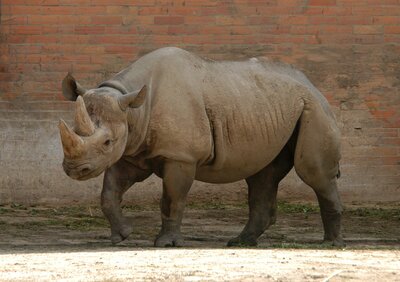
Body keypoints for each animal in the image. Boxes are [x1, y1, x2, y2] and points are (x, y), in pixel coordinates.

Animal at [60, 47, 344, 248]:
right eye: (72, 129)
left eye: (107, 141)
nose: (74, 169)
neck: (132, 108)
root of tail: (312, 84)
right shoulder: (131, 151)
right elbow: (109, 193)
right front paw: (121, 236)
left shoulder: (180, 156)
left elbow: (172, 197)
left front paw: (167, 244)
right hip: (268, 106)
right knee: (263, 175)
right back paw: (240, 242)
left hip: (313, 108)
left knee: (313, 173)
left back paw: (330, 244)